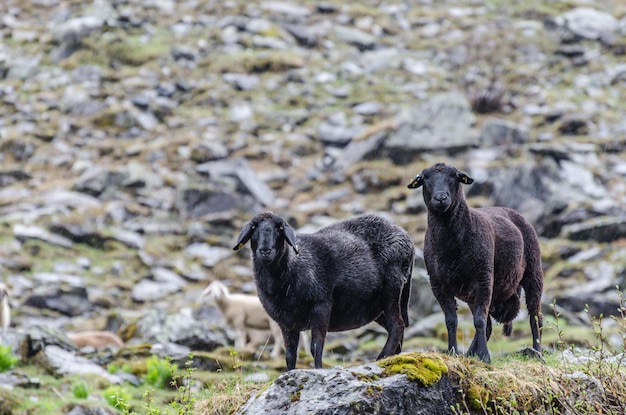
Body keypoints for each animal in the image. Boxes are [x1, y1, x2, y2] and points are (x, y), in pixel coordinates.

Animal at [232, 211, 412, 370]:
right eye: (254, 227)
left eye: (280, 228)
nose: (265, 251)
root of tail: (404, 235)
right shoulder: (286, 322)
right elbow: (290, 354)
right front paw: (289, 373)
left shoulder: (321, 307)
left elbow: (316, 347)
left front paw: (318, 370)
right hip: (376, 306)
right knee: (397, 327)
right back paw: (393, 358)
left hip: (391, 290)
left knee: (397, 325)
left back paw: (382, 357)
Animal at [408, 163, 540, 364]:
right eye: (425, 179)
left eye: (454, 177)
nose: (441, 198)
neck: (451, 247)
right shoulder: (438, 285)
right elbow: (451, 321)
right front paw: (453, 352)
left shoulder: (483, 279)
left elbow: (479, 320)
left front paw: (485, 356)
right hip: (472, 294)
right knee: (488, 327)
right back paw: (470, 353)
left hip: (533, 272)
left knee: (535, 315)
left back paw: (538, 351)